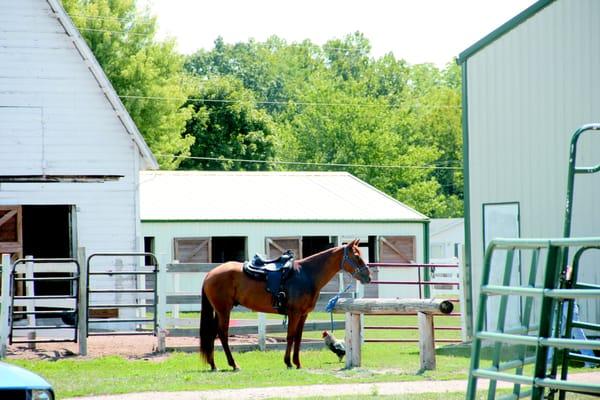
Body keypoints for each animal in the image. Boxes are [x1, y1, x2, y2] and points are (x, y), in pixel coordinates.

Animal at [202, 239, 370, 370]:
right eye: (356, 256)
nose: (368, 276)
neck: (306, 275)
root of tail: (210, 274)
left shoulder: (303, 314)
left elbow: (298, 338)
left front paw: (297, 363)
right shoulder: (294, 313)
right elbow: (290, 336)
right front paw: (288, 362)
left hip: (219, 311)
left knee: (213, 334)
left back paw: (213, 365)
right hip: (224, 310)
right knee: (222, 334)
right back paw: (233, 364)